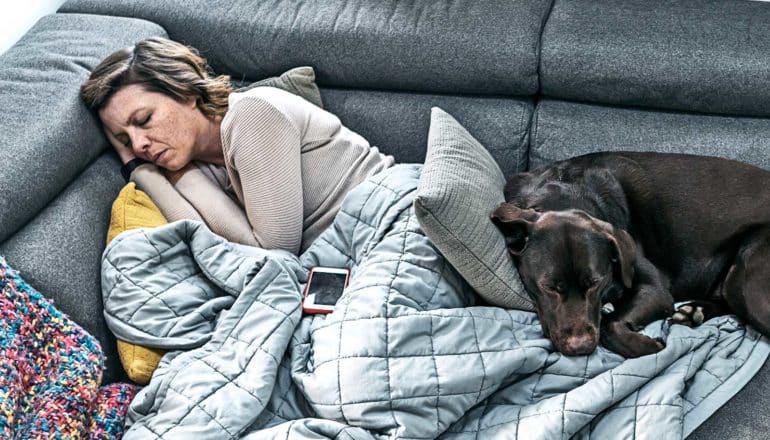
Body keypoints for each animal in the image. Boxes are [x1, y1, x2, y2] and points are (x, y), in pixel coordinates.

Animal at [488, 151, 768, 358]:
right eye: (548, 287)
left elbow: (609, 324)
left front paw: (647, 345)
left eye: (596, 282)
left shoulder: (654, 288)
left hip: (746, 277)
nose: (581, 347)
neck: (566, 195)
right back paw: (694, 311)